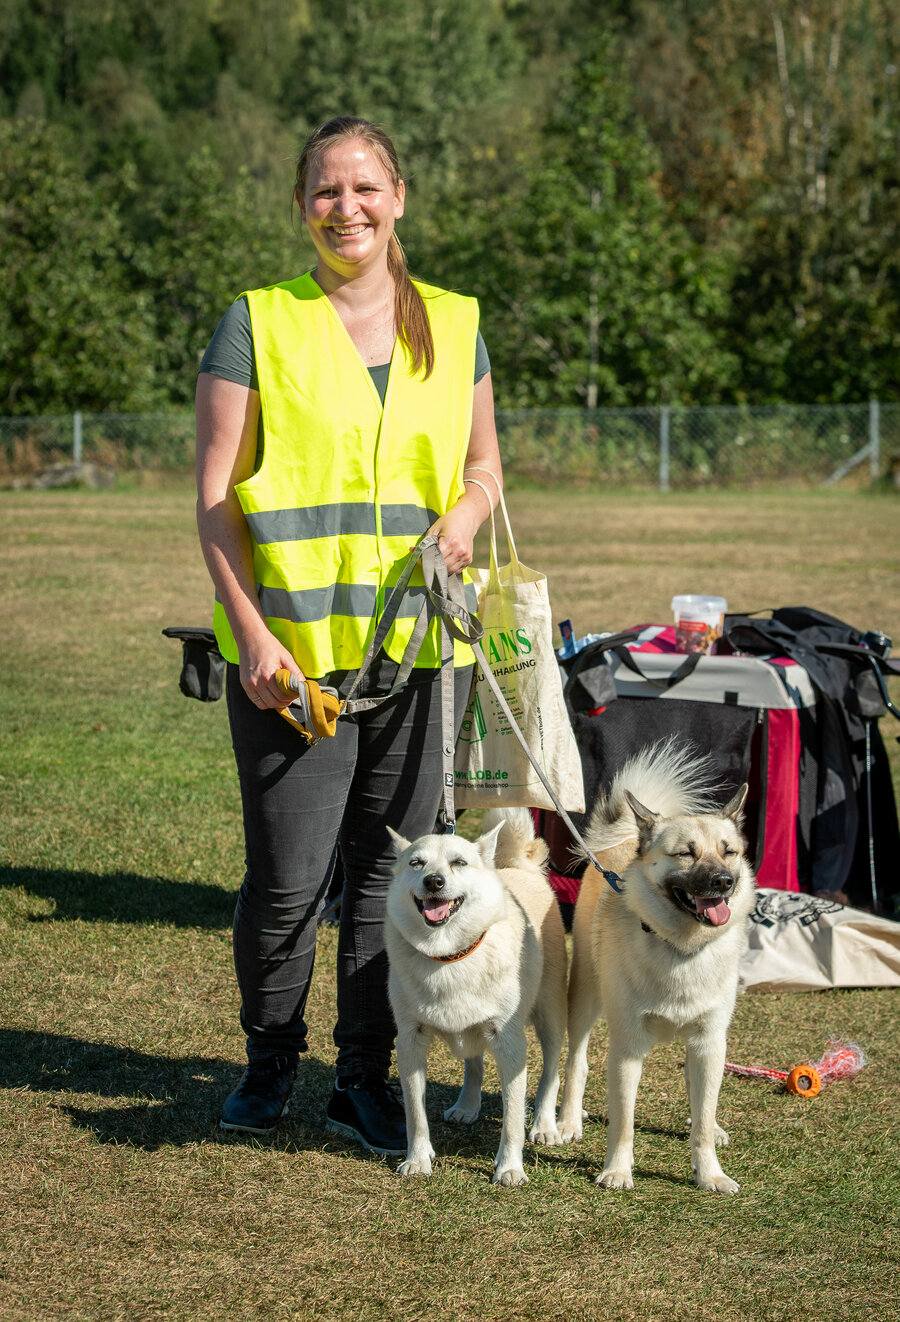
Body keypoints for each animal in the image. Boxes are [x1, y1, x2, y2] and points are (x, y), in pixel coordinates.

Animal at [383, 803, 565, 1189]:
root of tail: (517, 866)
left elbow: (512, 1118)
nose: (434, 882)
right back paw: (467, 1105)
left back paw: (545, 1125)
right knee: (474, 1062)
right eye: (416, 863)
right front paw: (417, 1159)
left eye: (459, 862)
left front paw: (510, 1168)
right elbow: (414, 1112)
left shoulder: (510, 1043)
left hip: (550, 1014)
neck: (448, 955)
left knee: (551, 1069)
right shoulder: (409, 1040)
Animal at [557, 745, 755, 1200]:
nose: (723, 882)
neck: (681, 949)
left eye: (729, 851)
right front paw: (617, 1170)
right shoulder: (627, 1049)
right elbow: (624, 1123)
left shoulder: (709, 1042)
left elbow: (702, 1119)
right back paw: (567, 1122)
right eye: (686, 853)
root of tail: (626, 838)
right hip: (585, 997)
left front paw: (709, 1173)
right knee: (577, 1062)